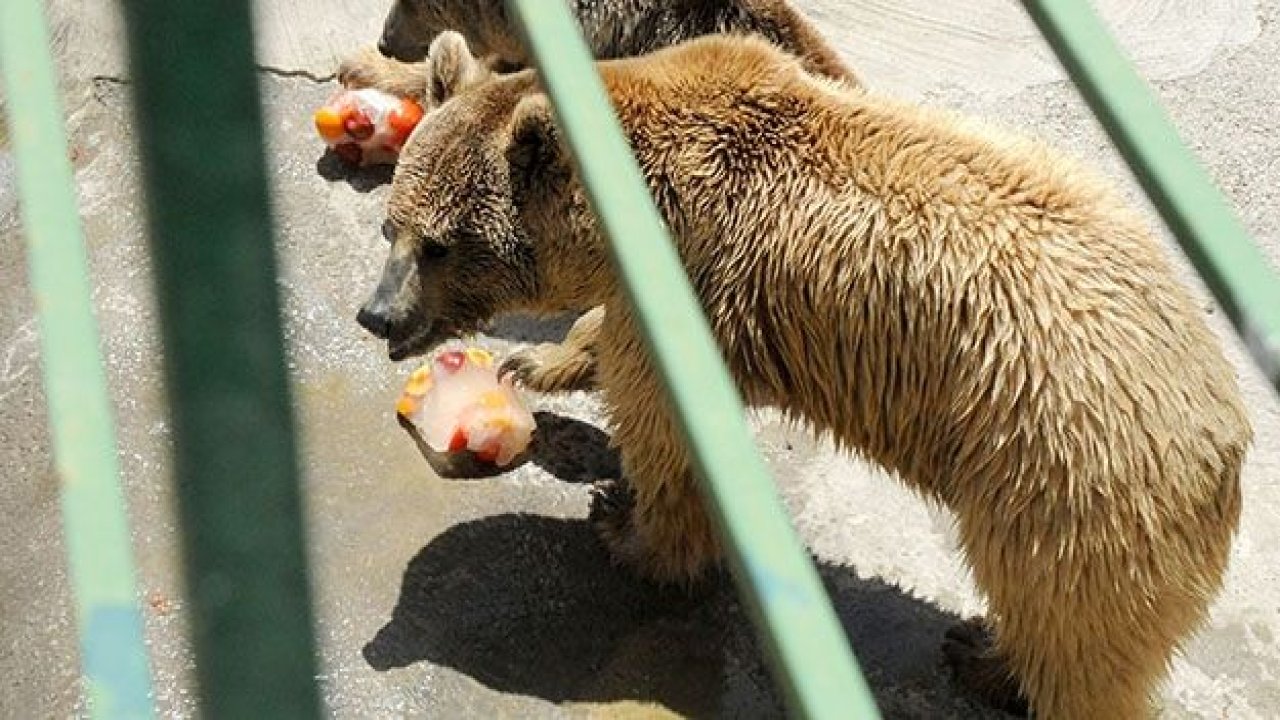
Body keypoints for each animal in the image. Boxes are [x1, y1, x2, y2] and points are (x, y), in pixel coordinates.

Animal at [355, 35, 1254, 717]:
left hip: (1067, 475)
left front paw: (625, 523)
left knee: (1074, 629)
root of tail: (1225, 431)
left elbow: (664, 429)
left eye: (438, 244)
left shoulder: (701, 277)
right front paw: (539, 360)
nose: (377, 315)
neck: (624, 208)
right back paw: (987, 653)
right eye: (391, 224)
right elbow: (608, 340)